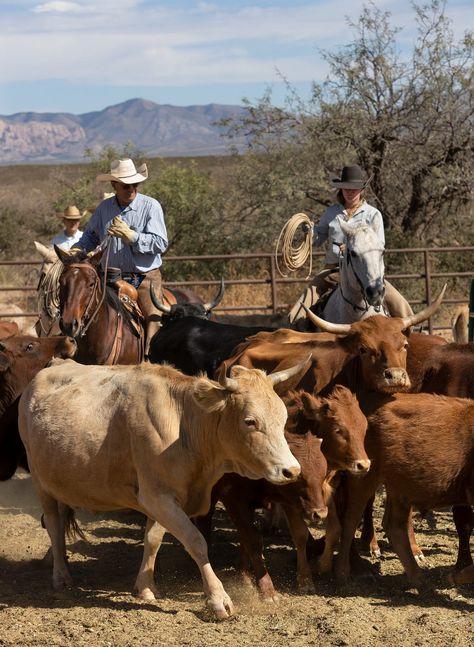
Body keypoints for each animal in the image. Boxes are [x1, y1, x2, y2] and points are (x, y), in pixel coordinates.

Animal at [18, 360, 310, 616]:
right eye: (250, 421)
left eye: (283, 418)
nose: (291, 470)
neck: (183, 425)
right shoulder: (158, 497)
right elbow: (196, 541)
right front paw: (218, 600)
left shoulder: (161, 497)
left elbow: (153, 539)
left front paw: (146, 588)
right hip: (40, 481)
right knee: (53, 525)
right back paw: (61, 575)